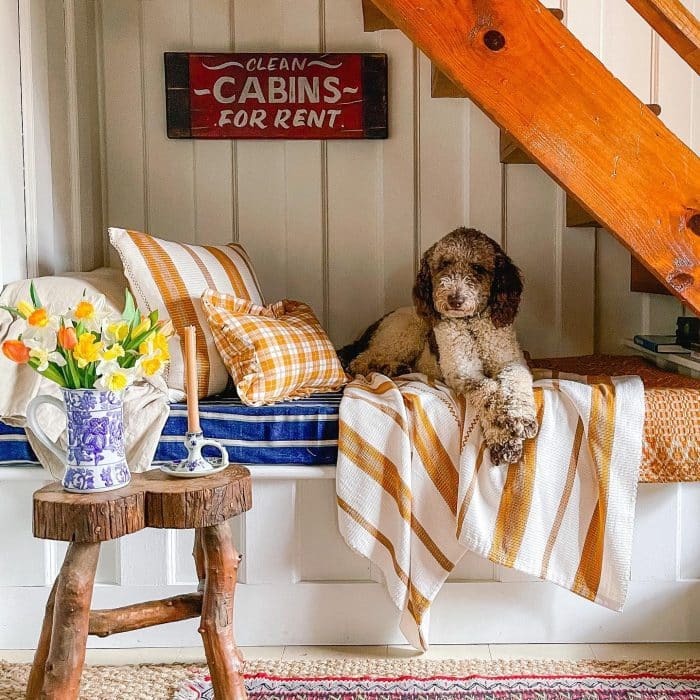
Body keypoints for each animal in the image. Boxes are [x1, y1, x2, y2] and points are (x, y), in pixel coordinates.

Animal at [342, 227, 540, 462]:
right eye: (444, 264)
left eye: (478, 268)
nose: (454, 300)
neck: (471, 325)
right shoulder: (463, 372)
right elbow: (490, 392)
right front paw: (504, 438)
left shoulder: (511, 362)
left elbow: (515, 384)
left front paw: (521, 418)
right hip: (408, 330)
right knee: (361, 360)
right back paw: (388, 367)